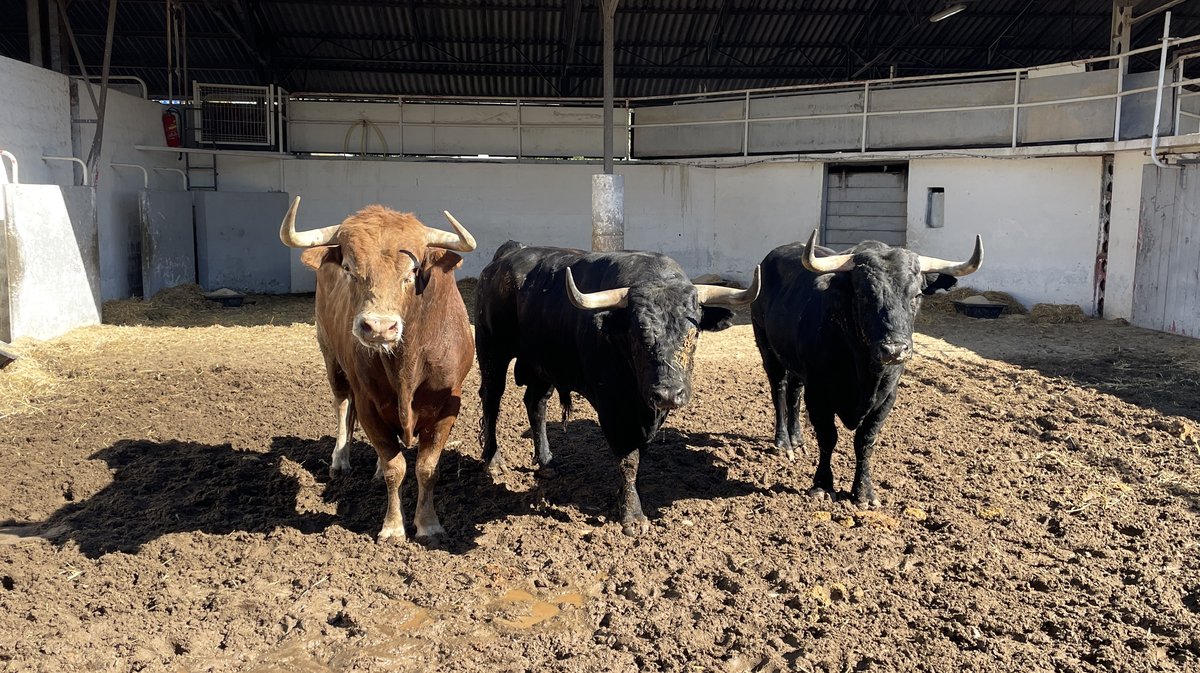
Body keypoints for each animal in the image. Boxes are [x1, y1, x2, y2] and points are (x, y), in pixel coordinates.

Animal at [280, 195, 472, 539]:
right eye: (348, 268)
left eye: (412, 270)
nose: (379, 327)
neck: (407, 365)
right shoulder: (369, 403)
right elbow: (396, 468)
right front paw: (393, 527)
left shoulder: (446, 406)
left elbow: (426, 468)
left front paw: (429, 525)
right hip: (331, 359)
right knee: (343, 406)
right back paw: (340, 462)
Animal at [472, 241, 753, 535]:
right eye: (638, 334)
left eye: (694, 333)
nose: (668, 394)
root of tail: (509, 253)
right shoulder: (612, 408)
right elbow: (629, 459)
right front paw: (632, 515)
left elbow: (640, 453)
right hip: (492, 351)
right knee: (491, 400)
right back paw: (492, 461)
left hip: (542, 363)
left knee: (536, 404)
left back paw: (546, 462)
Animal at [753, 230, 979, 503]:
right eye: (863, 295)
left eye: (916, 295)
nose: (894, 350)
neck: (863, 372)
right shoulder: (819, 395)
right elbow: (827, 437)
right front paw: (822, 485)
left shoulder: (886, 398)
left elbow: (865, 441)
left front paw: (863, 491)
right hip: (767, 347)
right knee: (779, 391)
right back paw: (783, 443)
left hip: (795, 362)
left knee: (794, 393)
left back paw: (797, 439)